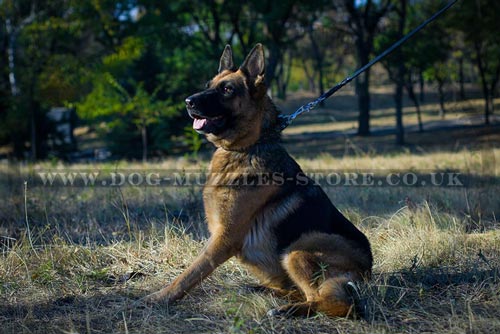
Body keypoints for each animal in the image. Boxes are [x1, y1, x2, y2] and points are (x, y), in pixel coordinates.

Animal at [145, 43, 372, 316]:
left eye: (227, 90)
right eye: (209, 84)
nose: (188, 101)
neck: (247, 148)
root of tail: (368, 270)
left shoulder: (223, 238)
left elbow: (192, 272)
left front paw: (160, 297)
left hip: (297, 250)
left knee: (335, 302)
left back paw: (286, 310)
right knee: (300, 291)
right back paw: (263, 291)